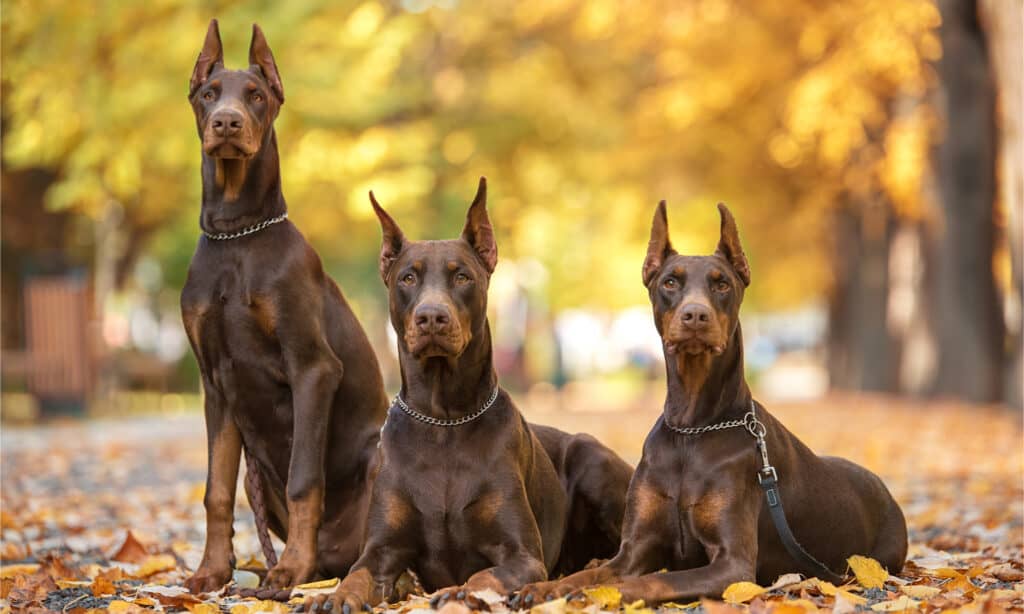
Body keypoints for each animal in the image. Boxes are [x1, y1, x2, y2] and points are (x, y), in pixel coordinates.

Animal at [180, 21, 387, 593]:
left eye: (256, 95)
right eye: (209, 93)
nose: (227, 122)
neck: (237, 234)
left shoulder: (312, 368)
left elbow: (303, 479)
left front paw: (291, 568)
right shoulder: (215, 382)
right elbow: (216, 490)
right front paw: (212, 570)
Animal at [303, 177, 634, 609]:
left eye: (462, 277)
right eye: (407, 278)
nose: (431, 317)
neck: (444, 421)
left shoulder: (522, 554)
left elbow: (484, 575)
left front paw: (459, 590)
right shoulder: (380, 550)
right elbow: (356, 575)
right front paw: (332, 596)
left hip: (593, 459)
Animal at [516, 202, 909, 605]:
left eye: (722, 284)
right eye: (670, 282)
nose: (695, 315)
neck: (692, 428)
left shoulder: (733, 565)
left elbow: (646, 582)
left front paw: (594, 595)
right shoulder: (634, 548)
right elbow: (591, 574)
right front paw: (545, 588)